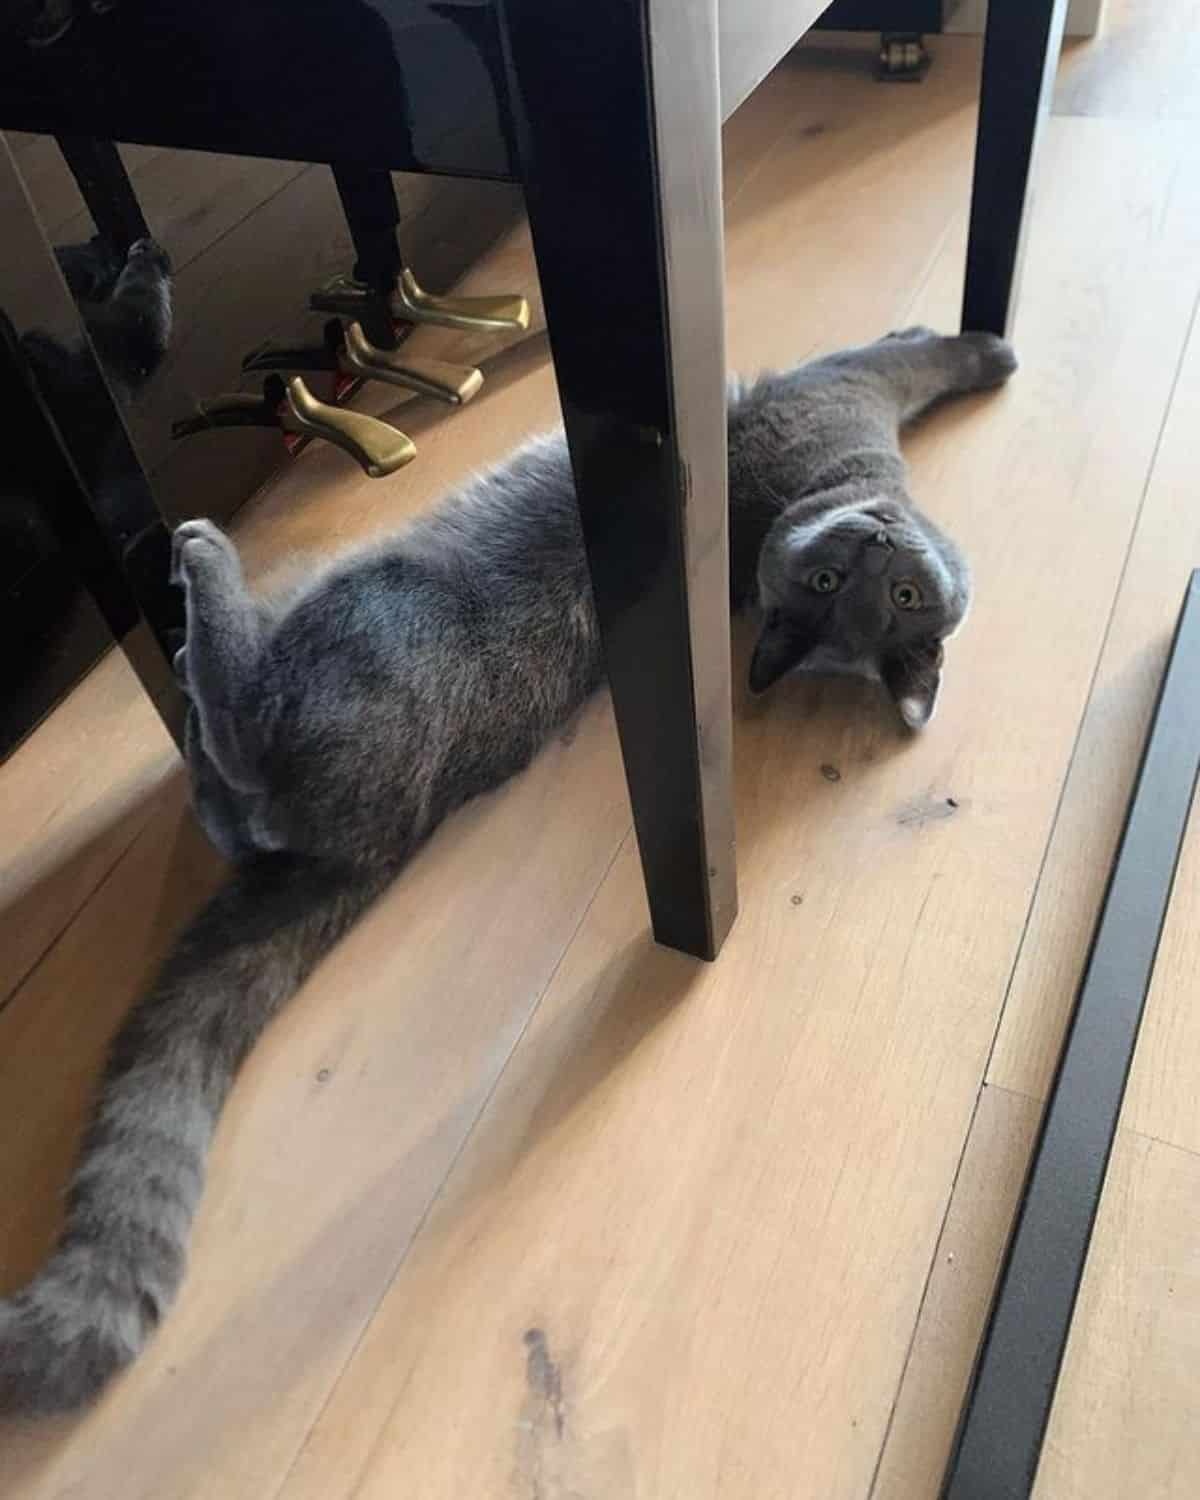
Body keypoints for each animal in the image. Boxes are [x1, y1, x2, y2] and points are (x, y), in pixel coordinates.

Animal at [0, 322, 1014, 1410]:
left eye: (896, 595)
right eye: (845, 588)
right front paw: (981, 351)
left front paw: (958, 344)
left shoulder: (819, 392)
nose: (877, 546)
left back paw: (203, 596)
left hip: (365, 617)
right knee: (229, 813)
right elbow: (907, 363)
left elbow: (890, 359)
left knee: (243, 754)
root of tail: (375, 838)